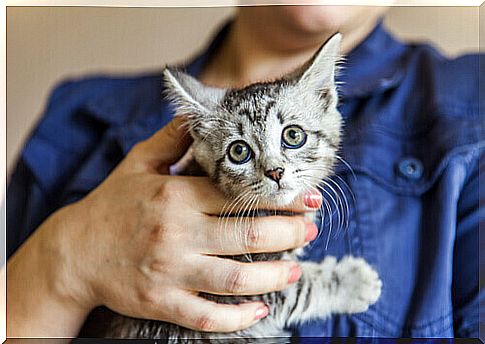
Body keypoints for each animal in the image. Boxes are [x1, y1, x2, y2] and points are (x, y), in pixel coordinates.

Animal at [106, 33, 382, 342]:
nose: (275, 171)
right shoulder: (241, 294)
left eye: (293, 135)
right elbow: (296, 286)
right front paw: (352, 281)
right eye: (239, 151)